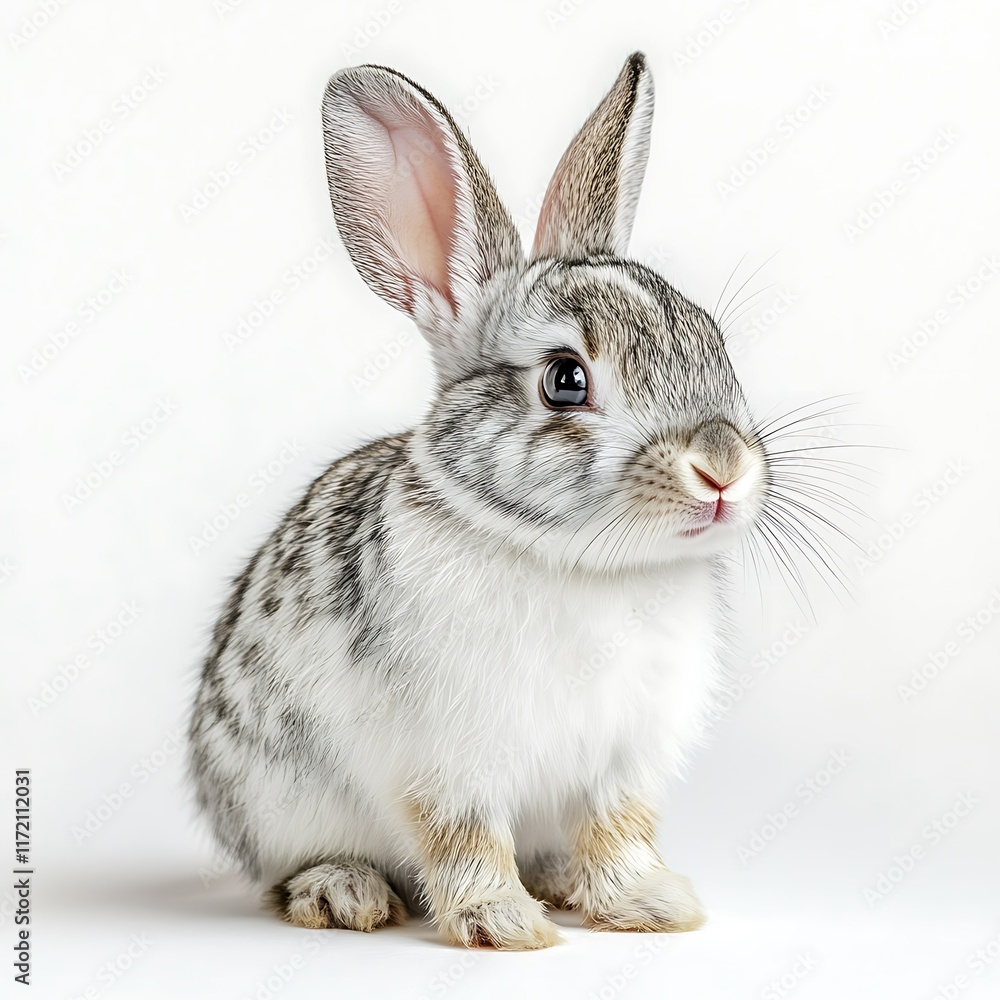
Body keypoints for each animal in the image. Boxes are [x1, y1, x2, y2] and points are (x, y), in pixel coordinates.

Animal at [189, 51, 773, 950]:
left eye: (712, 342)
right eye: (565, 380)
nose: (722, 467)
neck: (580, 564)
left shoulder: (624, 760)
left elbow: (618, 832)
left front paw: (651, 907)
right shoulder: (449, 757)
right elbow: (463, 837)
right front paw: (504, 925)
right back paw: (344, 892)